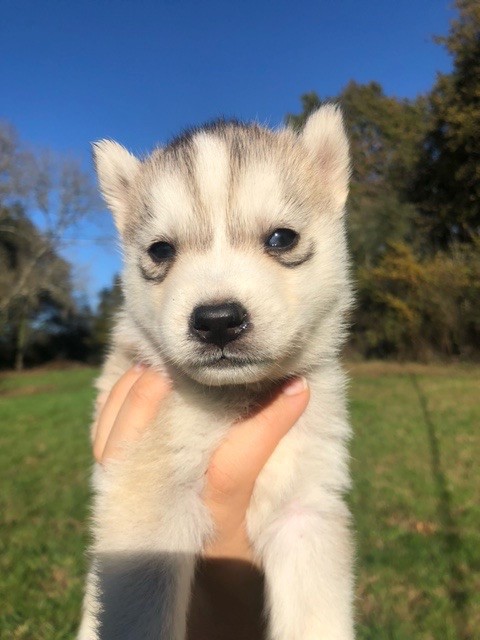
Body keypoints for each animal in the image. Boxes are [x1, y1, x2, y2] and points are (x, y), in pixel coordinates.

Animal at [79, 107, 354, 636]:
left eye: (282, 238)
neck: (236, 400)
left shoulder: (306, 508)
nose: (218, 320)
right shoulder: (146, 504)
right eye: (161, 250)